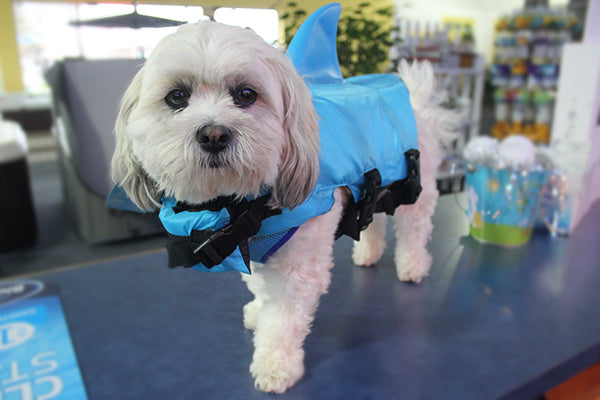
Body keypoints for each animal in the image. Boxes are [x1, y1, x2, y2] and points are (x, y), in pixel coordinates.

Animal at [112, 20, 458, 392]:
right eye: (177, 97)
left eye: (246, 95)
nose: (214, 134)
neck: (241, 205)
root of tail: (416, 103)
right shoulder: (253, 248)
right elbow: (260, 287)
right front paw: (258, 309)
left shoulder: (298, 264)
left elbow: (282, 319)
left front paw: (275, 364)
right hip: (372, 186)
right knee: (374, 217)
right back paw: (368, 252)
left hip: (414, 186)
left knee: (413, 229)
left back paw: (413, 266)